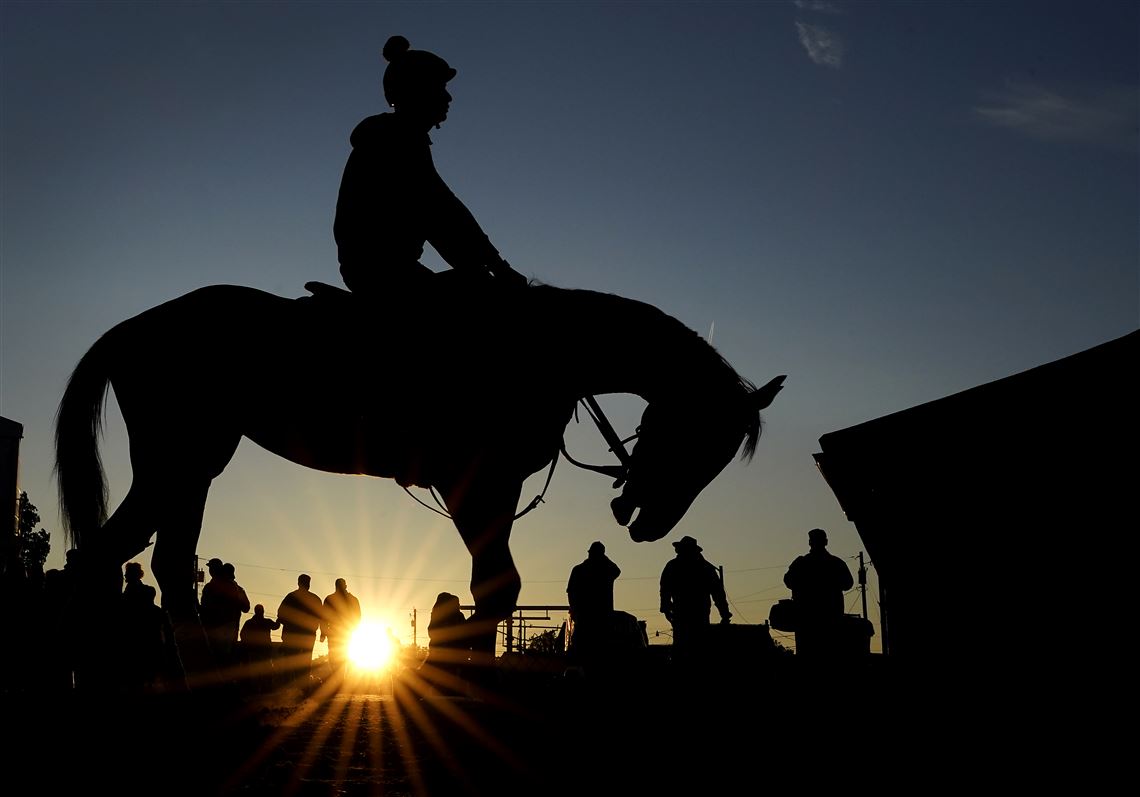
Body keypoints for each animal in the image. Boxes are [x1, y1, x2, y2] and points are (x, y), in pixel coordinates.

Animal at [53, 275, 784, 679]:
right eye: (697, 435)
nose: (651, 520)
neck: (542, 347)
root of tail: (134, 328)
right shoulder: (475, 484)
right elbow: (496, 585)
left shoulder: (494, 489)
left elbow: (496, 587)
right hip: (178, 459)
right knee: (109, 557)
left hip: (193, 465)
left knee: (163, 561)